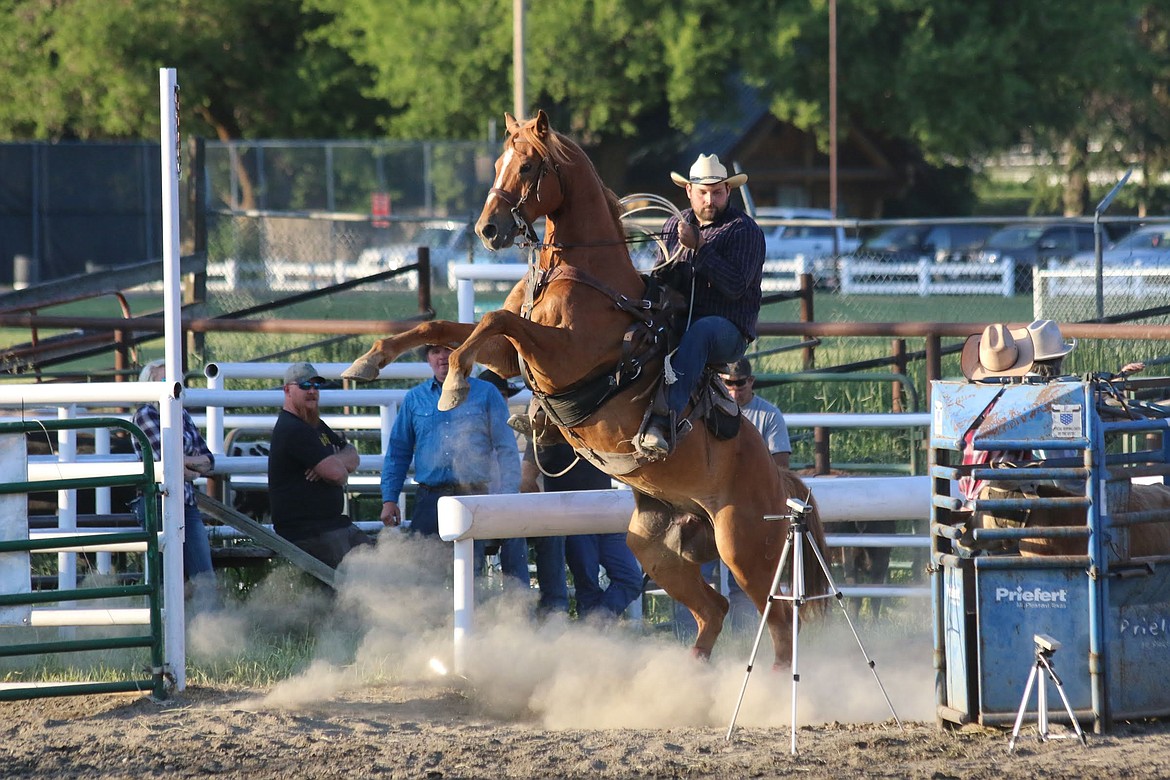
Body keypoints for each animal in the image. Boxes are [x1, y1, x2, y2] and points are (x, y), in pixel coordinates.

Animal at [341, 111, 828, 664]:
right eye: (498, 162)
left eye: (528, 165)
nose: (489, 229)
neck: (583, 275)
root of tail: (780, 480)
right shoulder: (512, 353)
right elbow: (448, 326)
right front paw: (370, 359)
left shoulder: (562, 355)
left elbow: (492, 318)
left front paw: (454, 386)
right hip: (655, 546)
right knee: (714, 610)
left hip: (744, 547)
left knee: (780, 620)